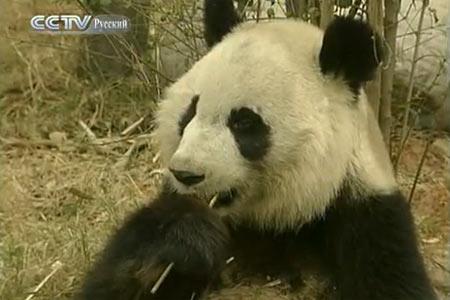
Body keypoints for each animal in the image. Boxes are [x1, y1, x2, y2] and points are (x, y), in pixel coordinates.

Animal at [75, 1, 438, 298]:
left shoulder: (368, 221)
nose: (186, 174)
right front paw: (183, 237)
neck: (272, 220)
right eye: (190, 111)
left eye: (244, 123)